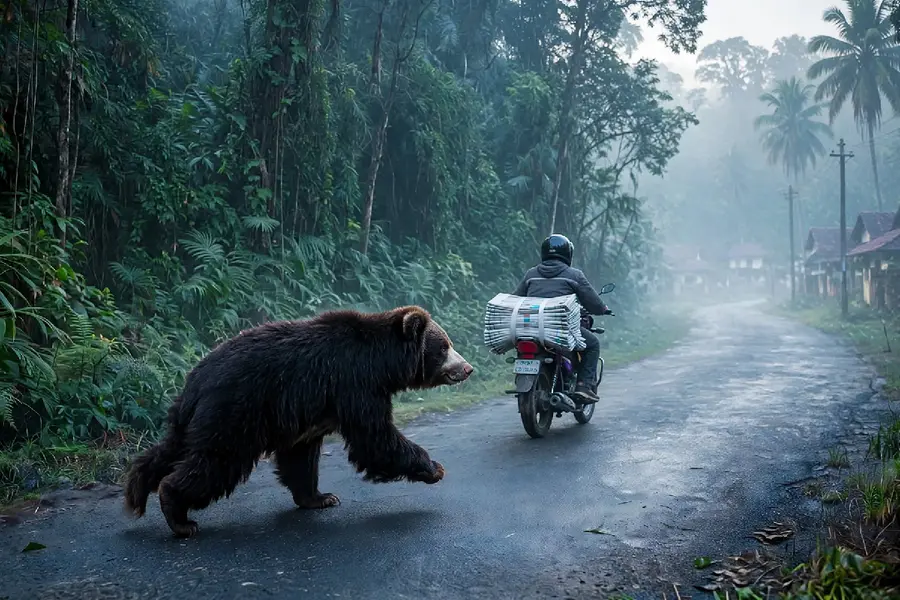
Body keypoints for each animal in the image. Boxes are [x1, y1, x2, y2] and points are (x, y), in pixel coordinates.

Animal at [123, 305, 473, 538]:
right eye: (444, 346)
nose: (468, 368)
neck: (381, 364)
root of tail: (197, 377)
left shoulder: (311, 409)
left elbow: (300, 456)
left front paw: (320, 498)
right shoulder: (354, 385)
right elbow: (375, 438)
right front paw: (433, 467)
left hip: (193, 414)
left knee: (172, 447)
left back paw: (137, 492)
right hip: (236, 410)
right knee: (216, 461)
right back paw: (179, 515)